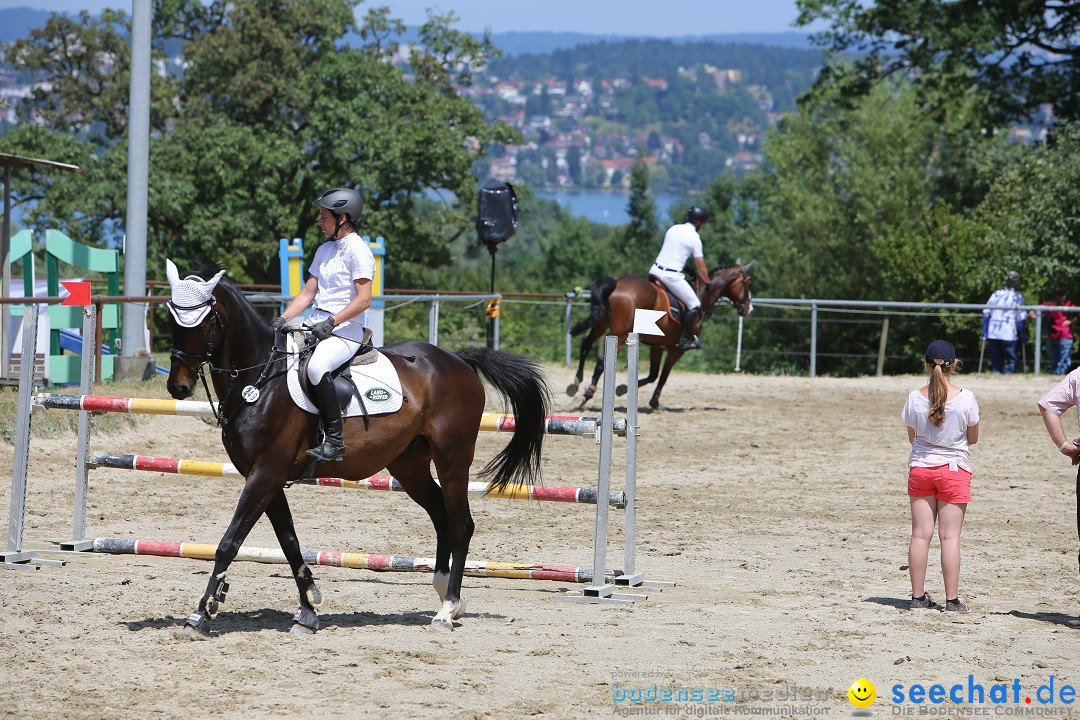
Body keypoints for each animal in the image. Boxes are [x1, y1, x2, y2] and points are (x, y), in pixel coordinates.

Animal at [165, 262, 552, 639]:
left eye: (203, 322)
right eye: (172, 320)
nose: (178, 387)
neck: (260, 379)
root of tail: (456, 360)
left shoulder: (265, 474)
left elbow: (229, 542)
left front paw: (201, 615)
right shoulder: (267, 477)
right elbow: (289, 542)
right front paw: (308, 609)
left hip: (452, 457)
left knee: (460, 524)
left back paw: (447, 610)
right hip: (409, 466)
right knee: (442, 517)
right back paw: (446, 595)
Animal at [565, 264, 751, 410]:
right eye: (748, 283)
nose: (749, 309)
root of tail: (617, 282)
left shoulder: (657, 346)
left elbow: (654, 374)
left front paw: (623, 388)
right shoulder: (676, 350)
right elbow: (664, 376)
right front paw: (654, 402)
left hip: (601, 323)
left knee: (586, 344)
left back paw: (575, 383)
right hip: (620, 333)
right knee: (601, 360)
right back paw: (587, 394)